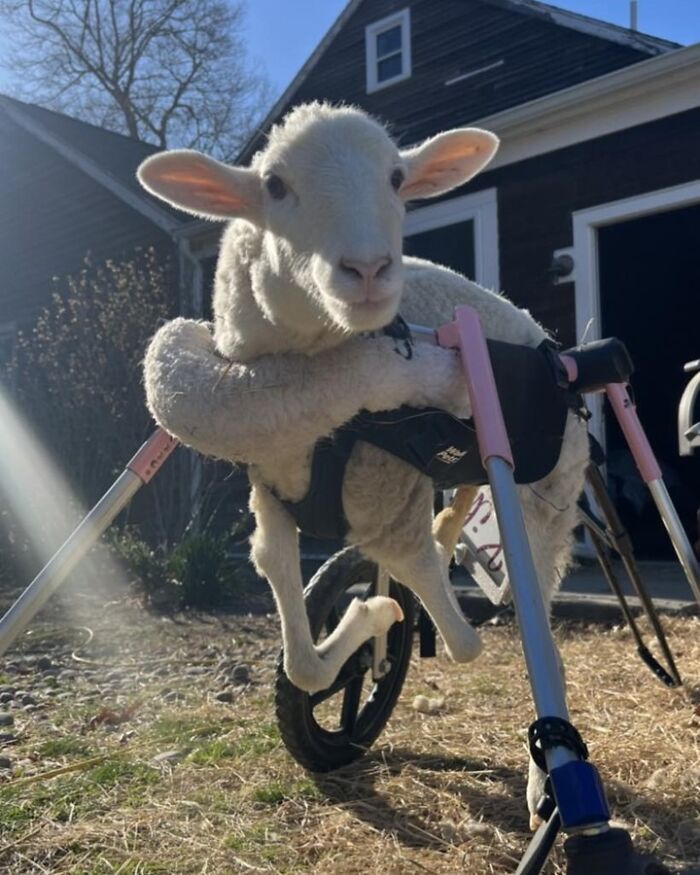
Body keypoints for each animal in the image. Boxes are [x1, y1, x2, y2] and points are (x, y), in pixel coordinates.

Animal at [139, 103, 589, 823]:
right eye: (274, 185)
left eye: (398, 179)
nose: (370, 270)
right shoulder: (272, 501)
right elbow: (301, 655)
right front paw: (367, 622)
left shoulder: (391, 513)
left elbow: (460, 637)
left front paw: (379, 618)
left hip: (544, 497)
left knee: (531, 617)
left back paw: (543, 776)